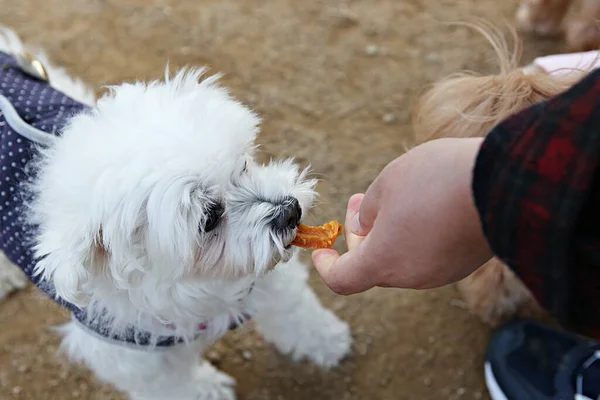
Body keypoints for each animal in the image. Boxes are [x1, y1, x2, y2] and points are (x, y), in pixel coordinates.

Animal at [0, 28, 352, 400]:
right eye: (209, 218)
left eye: (243, 166)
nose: (290, 211)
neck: (201, 283)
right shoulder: (131, 355)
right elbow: (175, 385)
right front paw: (207, 390)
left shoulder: (263, 277)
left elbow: (294, 311)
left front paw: (327, 341)